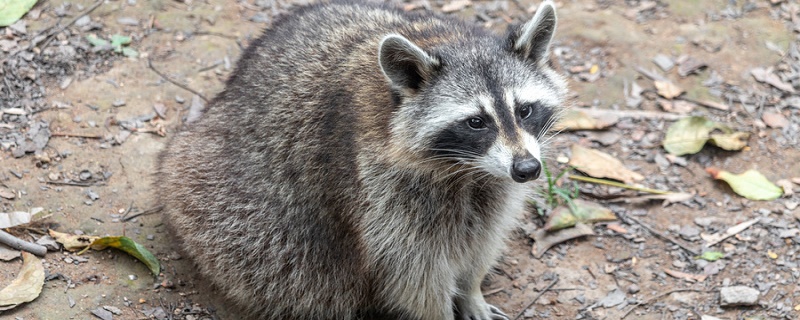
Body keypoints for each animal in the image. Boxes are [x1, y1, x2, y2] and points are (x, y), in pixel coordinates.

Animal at [158, 1, 568, 318]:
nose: (527, 169)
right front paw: (442, 308)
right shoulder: (378, 190)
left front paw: (472, 290)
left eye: (525, 110)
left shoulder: (493, 185)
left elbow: (484, 238)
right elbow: (412, 273)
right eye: (476, 122)